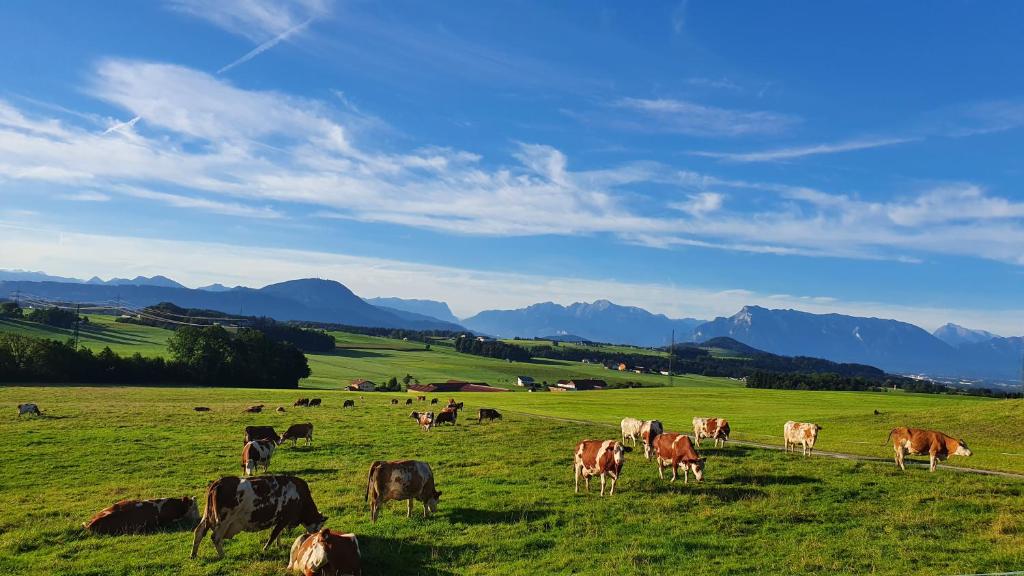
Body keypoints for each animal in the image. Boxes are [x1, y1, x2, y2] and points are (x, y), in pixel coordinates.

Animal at [188, 473, 323, 557]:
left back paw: (193, 554)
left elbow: (277, 534)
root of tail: (218, 483)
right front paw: (265, 549)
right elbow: (274, 534)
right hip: (223, 520)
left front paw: (279, 545)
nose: (315, 539)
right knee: (215, 538)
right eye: (319, 528)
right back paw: (223, 556)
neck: (300, 496)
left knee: (198, 532)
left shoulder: (279, 520)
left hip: (207, 515)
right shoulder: (285, 518)